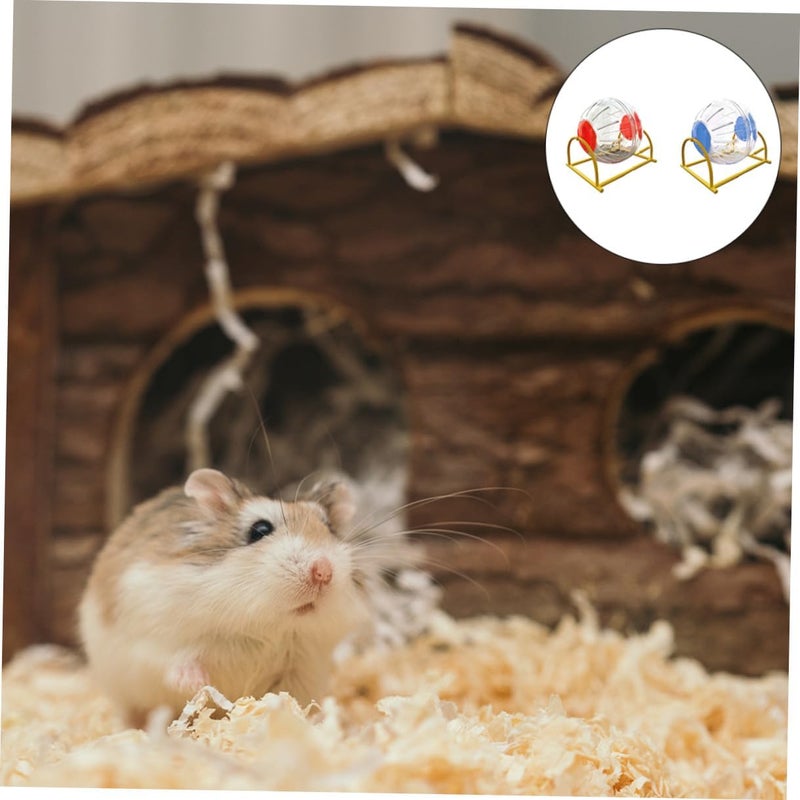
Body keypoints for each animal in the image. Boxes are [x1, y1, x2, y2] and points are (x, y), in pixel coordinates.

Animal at [78, 468, 372, 726]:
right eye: (260, 530)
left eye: (329, 528)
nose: (323, 571)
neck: (267, 627)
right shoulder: (155, 637)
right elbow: (176, 661)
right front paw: (198, 683)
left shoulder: (302, 668)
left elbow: (290, 700)